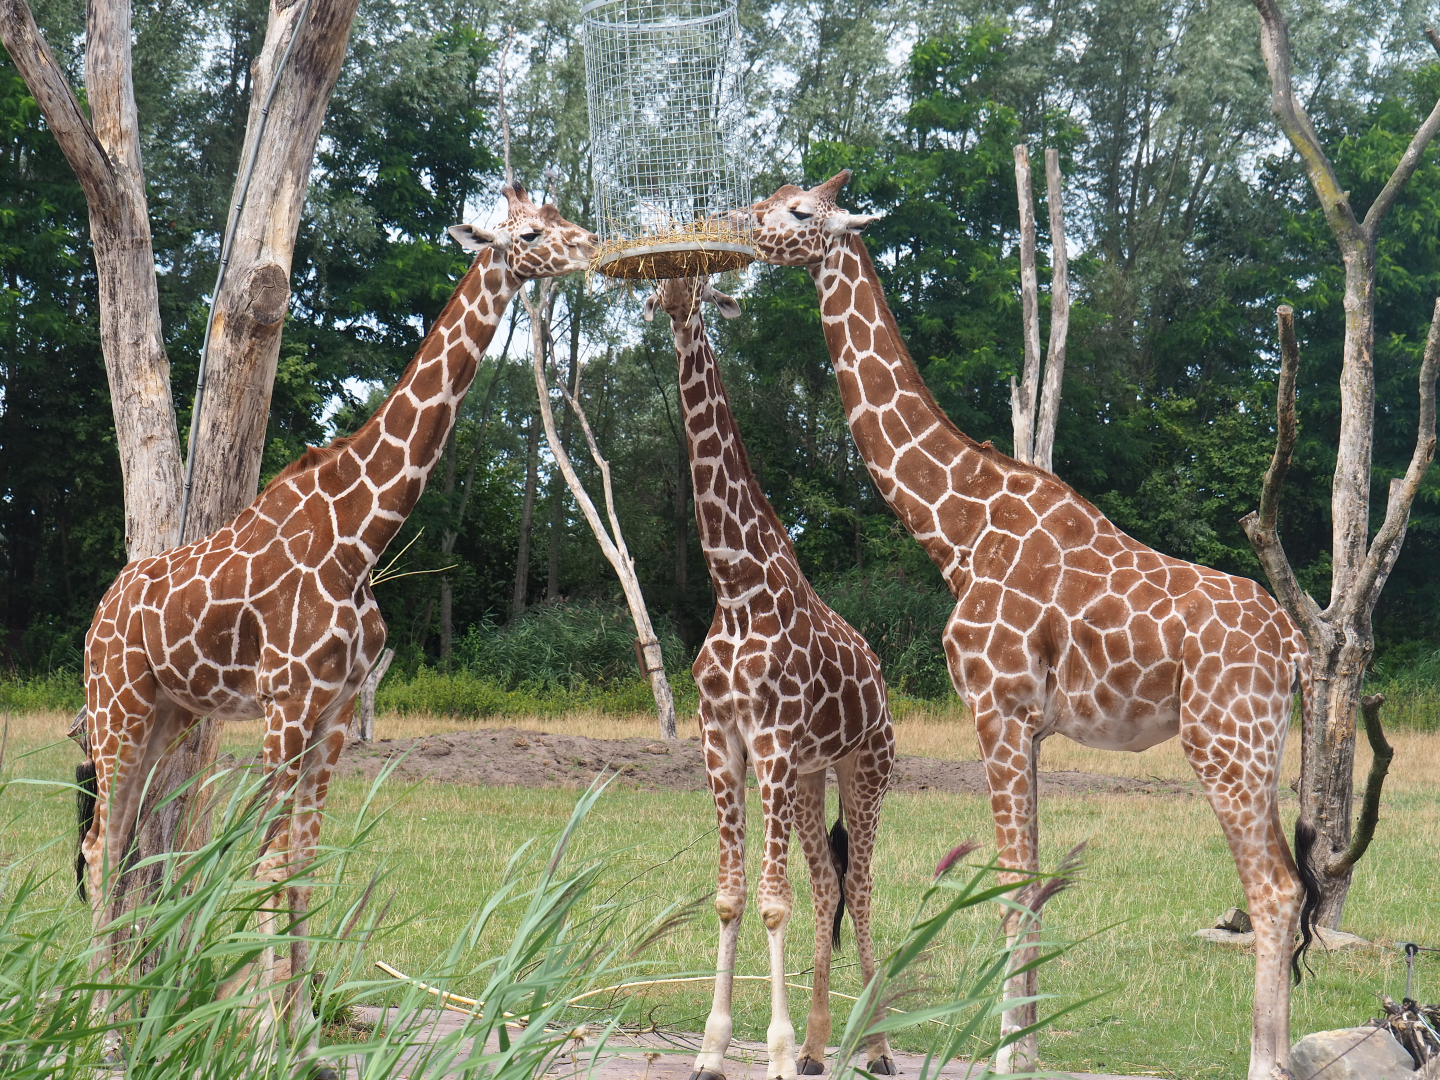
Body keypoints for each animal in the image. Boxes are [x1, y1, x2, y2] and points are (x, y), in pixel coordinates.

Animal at [77, 181, 597, 1073]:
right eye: (529, 233)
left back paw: (132, 1014)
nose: (593, 247)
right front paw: (266, 1043)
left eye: (562, 216)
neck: (363, 534)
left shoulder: (333, 711)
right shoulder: (286, 702)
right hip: (117, 709)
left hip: (170, 713)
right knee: (102, 843)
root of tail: (97, 619)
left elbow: (306, 862)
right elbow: (269, 862)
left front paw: (303, 1041)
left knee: (129, 843)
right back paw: (102, 1030)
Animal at [642, 275, 896, 1080]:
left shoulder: (774, 742)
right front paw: (714, 1050)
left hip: (864, 770)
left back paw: (876, 1047)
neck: (736, 586)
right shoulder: (720, 739)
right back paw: (820, 1047)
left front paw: (776, 1052)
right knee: (829, 883)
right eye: (662, 282)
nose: (672, 302)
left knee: (862, 886)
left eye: (701, 283)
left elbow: (770, 901)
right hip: (812, 780)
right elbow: (730, 896)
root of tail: (881, 682)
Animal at [743, 172, 1319, 1080]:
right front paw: (1031, 1044)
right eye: (776, 195)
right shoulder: (1036, 727)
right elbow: (1039, 885)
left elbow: (1010, 889)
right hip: (1261, 746)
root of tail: (1293, 645)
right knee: (1286, 888)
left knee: (1274, 890)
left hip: (1223, 740)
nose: (743, 224)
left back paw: (1265, 1062)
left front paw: (1008, 1054)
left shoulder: (997, 709)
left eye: (801, 211)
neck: (956, 529)